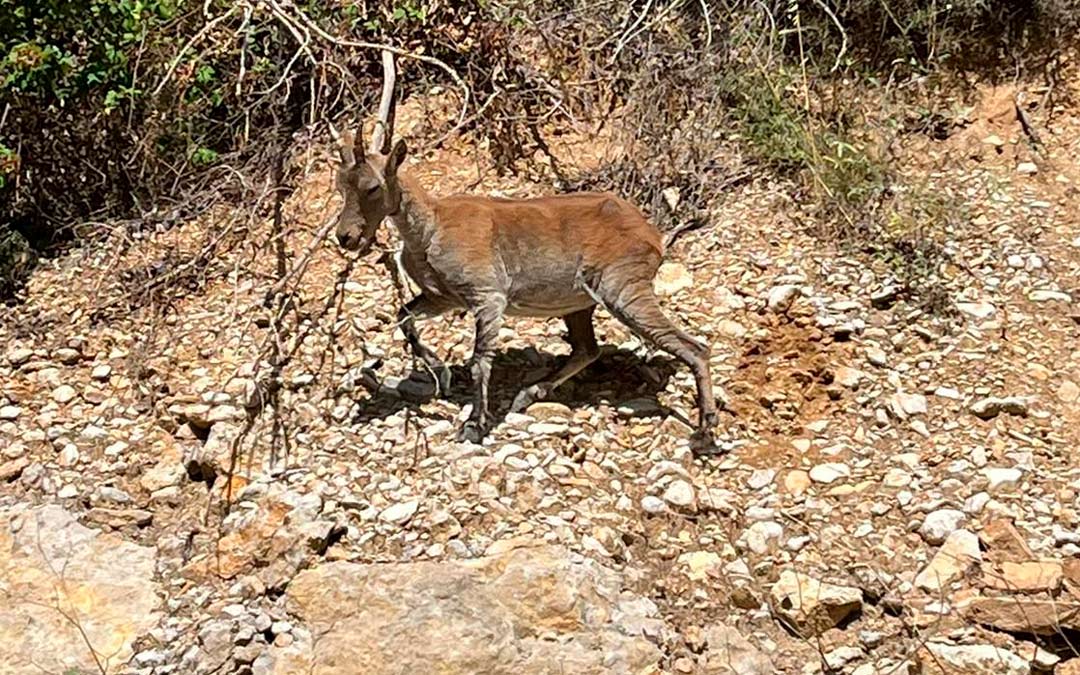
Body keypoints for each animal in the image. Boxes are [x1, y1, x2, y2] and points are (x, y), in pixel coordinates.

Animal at [333, 52, 719, 454]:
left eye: (373, 187)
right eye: (340, 184)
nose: (346, 237)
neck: (430, 227)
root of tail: (652, 234)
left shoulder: (487, 297)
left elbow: (479, 361)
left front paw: (473, 425)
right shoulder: (443, 299)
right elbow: (404, 317)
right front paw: (441, 374)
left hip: (623, 289)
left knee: (693, 347)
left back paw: (704, 433)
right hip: (579, 303)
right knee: (587, 349)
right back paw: (529, 393)